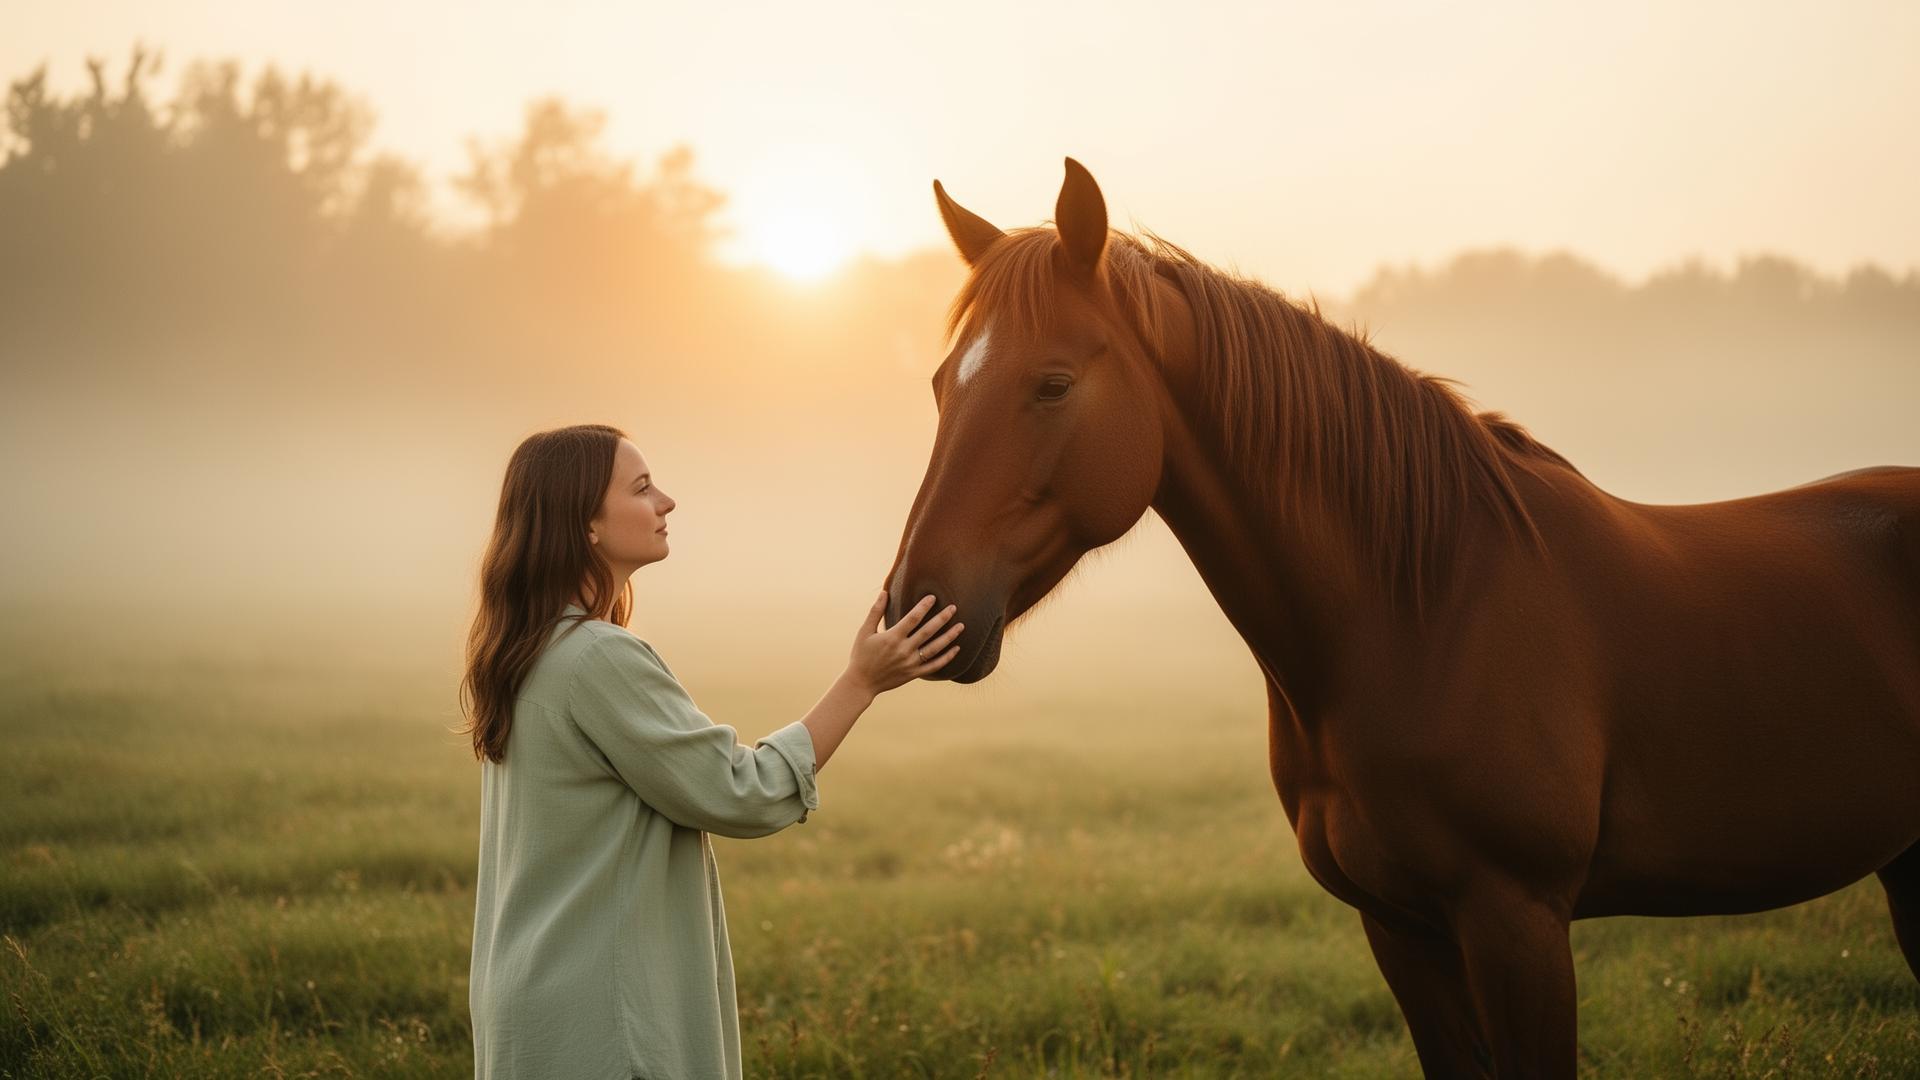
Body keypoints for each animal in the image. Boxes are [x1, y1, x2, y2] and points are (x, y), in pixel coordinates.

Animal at [880, 158, 1920, 1078]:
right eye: (938, 384)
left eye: (1052, 383)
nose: (915, 607)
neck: (1427, 614)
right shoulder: (1399, 927)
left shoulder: (1517, 922)